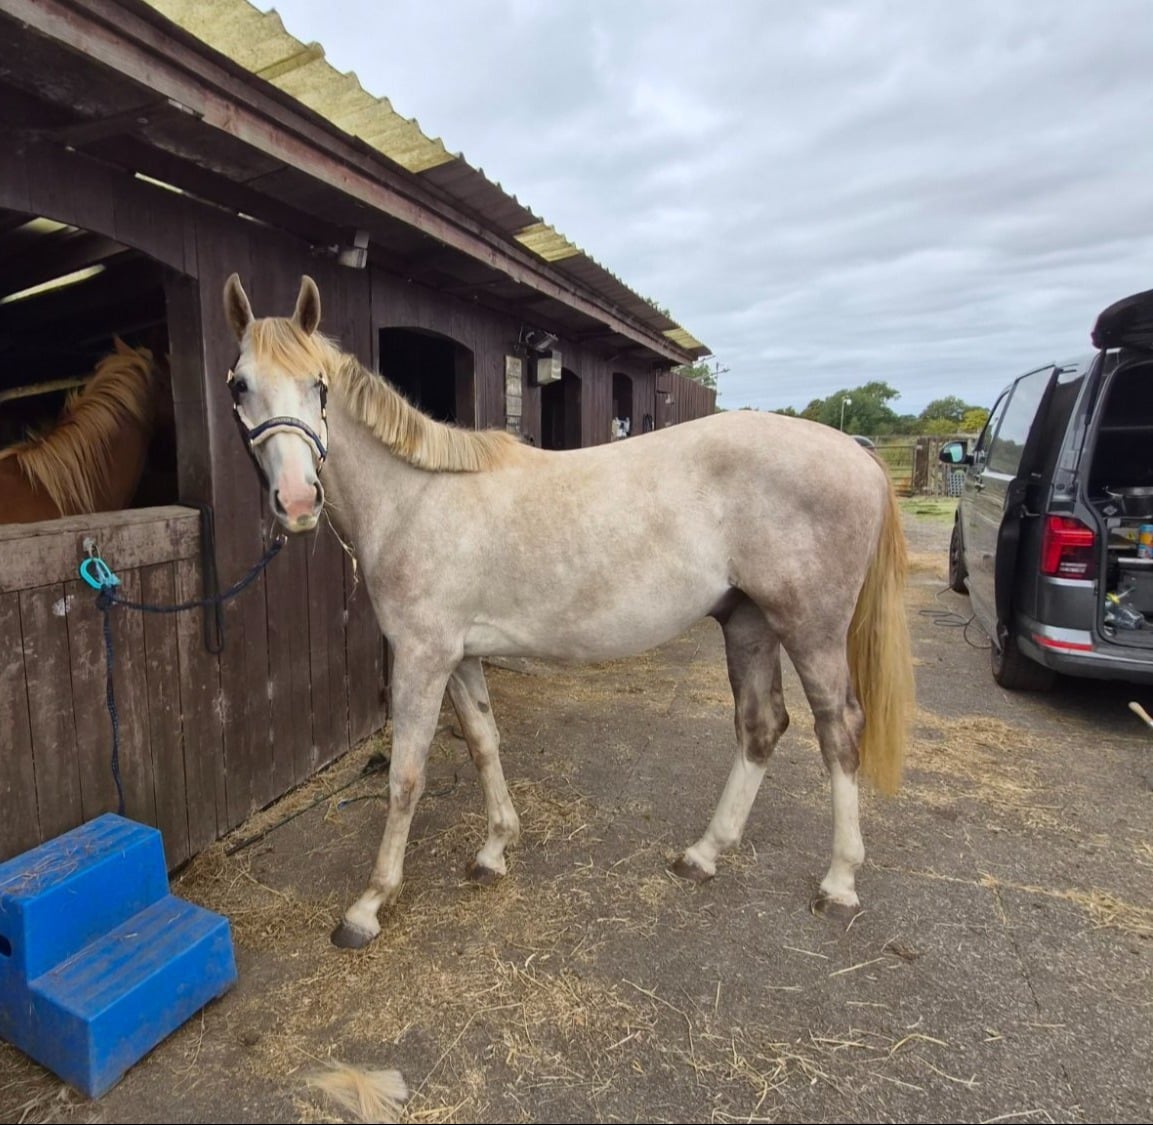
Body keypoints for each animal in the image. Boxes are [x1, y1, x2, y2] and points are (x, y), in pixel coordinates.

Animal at [222, 274, 914, 950]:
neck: (415, 498)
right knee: (761, 727)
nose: (297, 500)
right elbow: (485, 744)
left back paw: (839, 882)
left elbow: (406, 777)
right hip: (748, 623)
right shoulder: (460, 657)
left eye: (318, 385)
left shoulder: (422, 658)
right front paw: (494, 850)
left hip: (811, 631)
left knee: (839, 730)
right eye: (239, 384)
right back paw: (703, 854)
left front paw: (369, 905)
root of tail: (856, 453)